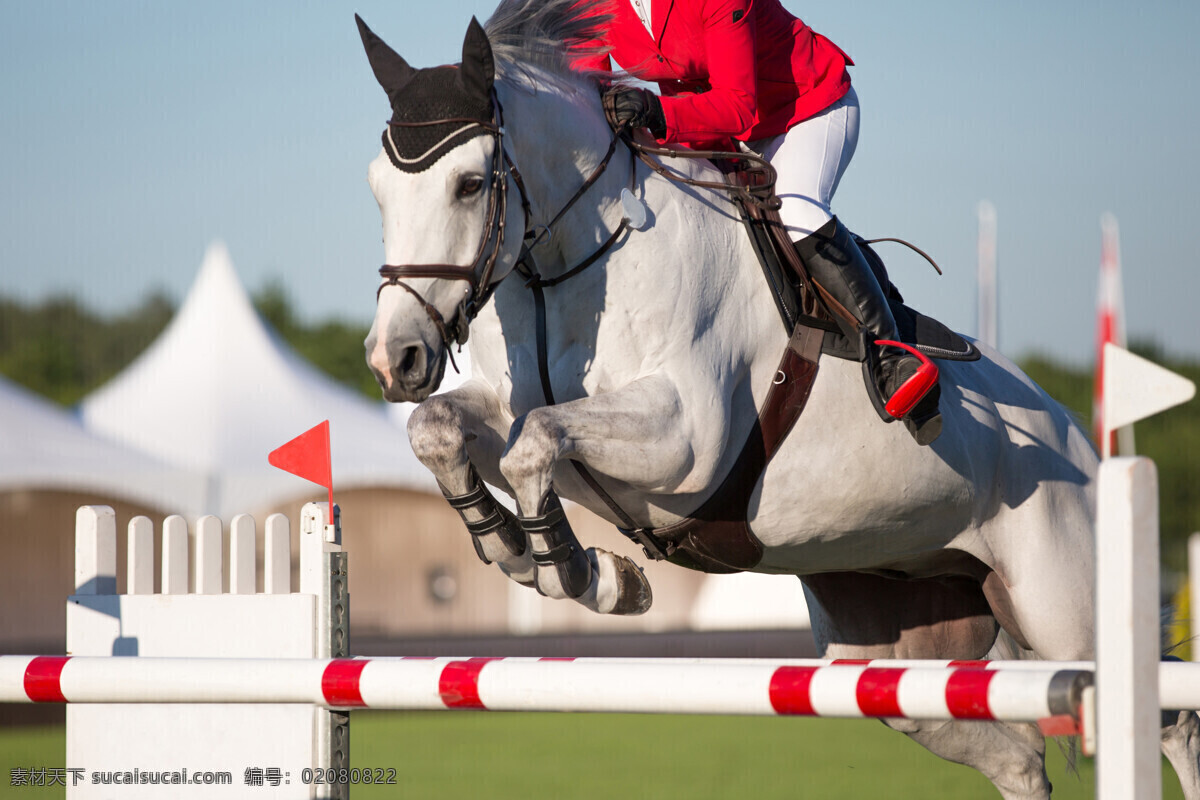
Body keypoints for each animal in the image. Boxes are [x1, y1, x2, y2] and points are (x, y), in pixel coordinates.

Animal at [356, 2, 1200, 796]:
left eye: (469, 184)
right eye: (377, 190)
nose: (395, 358)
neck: (574, 261)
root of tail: (1081, 437)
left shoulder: (686, 440)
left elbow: (536, 441)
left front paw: (580, 571)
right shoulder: (508, 408)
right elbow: (443, 427)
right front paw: (510, 545)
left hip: (1070, 612)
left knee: (1169, 723)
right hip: (896, 655)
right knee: (1018, 759)